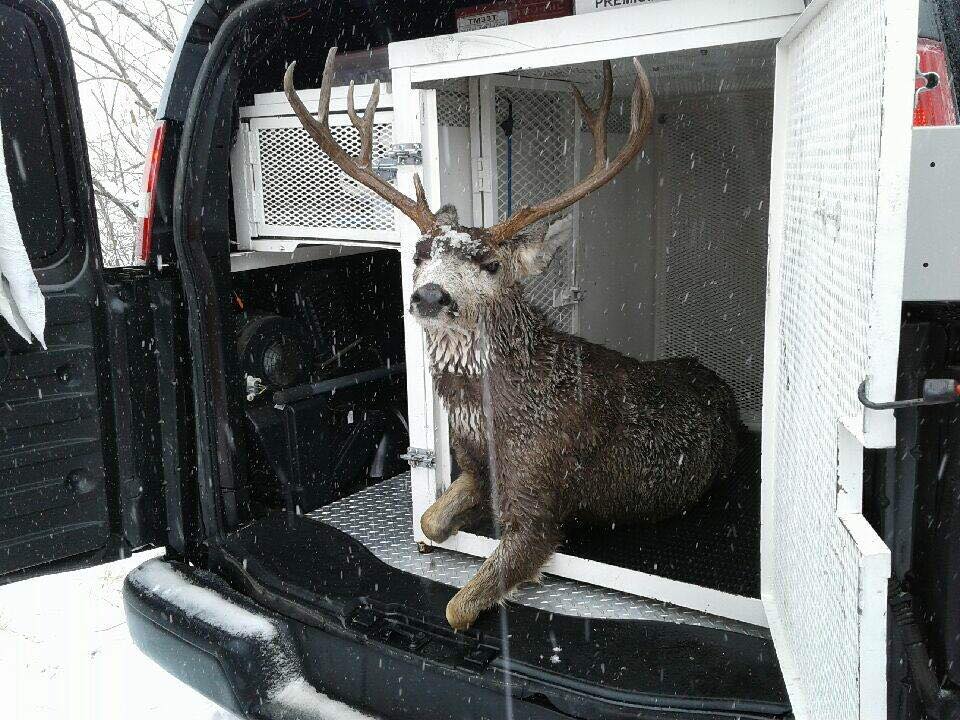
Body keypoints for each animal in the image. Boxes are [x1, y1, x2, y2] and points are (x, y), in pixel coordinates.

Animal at [285, 48, 740, 631]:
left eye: (490, 263)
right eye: (420, 254)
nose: (429, 296)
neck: (490, 415)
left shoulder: (540, 501)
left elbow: (458, 607)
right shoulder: (475, 465)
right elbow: (430, 522)